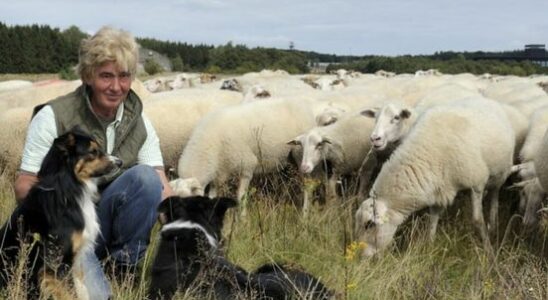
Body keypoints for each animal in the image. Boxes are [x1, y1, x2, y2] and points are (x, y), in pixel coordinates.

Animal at [354, 98, 516, 255]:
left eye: (369, 224)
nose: (361, 257)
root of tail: (488, 100)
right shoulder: (438, 188)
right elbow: (432, 220)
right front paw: (429, 244)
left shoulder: (476, 183)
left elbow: (477, 220)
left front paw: (489, 251)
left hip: (501, 171)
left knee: (495, 192)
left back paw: (493, 222)